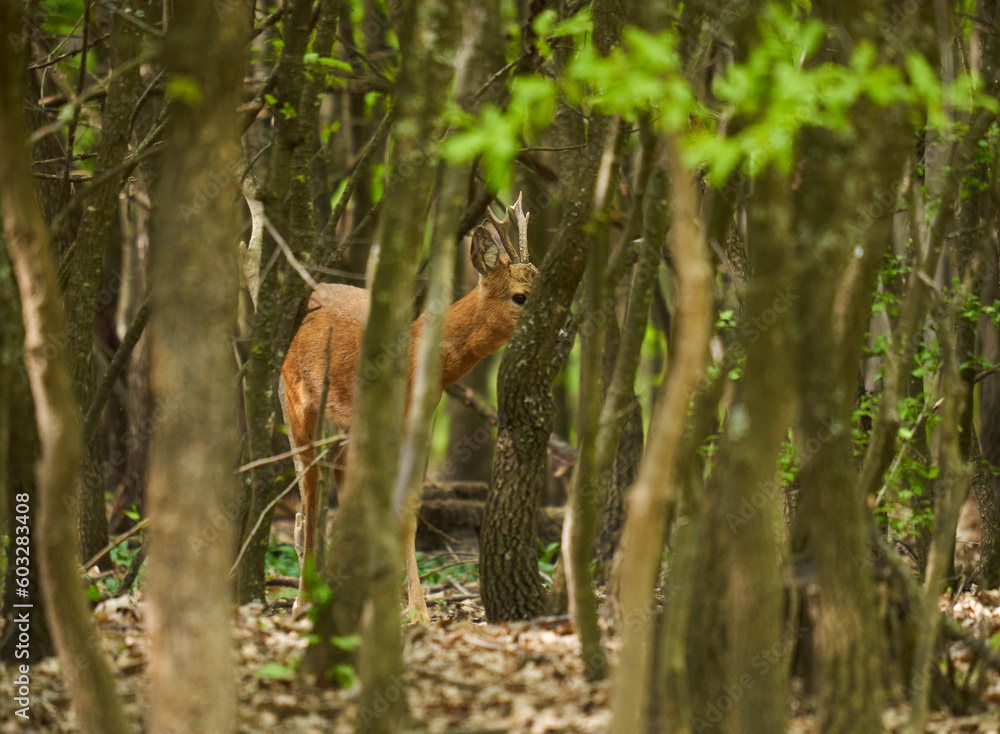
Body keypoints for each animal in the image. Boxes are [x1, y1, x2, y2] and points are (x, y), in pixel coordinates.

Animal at [282, 194, 536, 616]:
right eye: (520, 296)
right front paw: (418, 610)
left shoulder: (422, 421)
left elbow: (409, 512)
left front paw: (410, 605)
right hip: (294, 401)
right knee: (310, 491)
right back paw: (303, 599)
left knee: (337, 476)